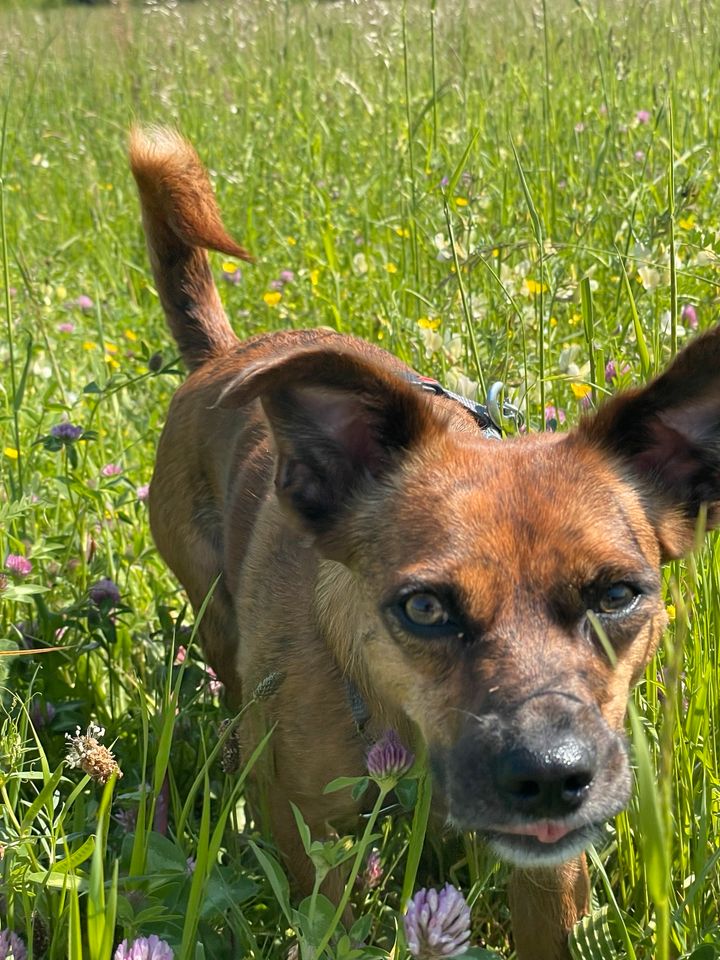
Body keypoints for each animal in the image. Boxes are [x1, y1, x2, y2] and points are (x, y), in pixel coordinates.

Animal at [131, 129, 720, 960]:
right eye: (425, 608)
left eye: (616, 595)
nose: (549, 775)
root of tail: (226, 353)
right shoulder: (315, 849)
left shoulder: (548, 874)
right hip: (213, 611)